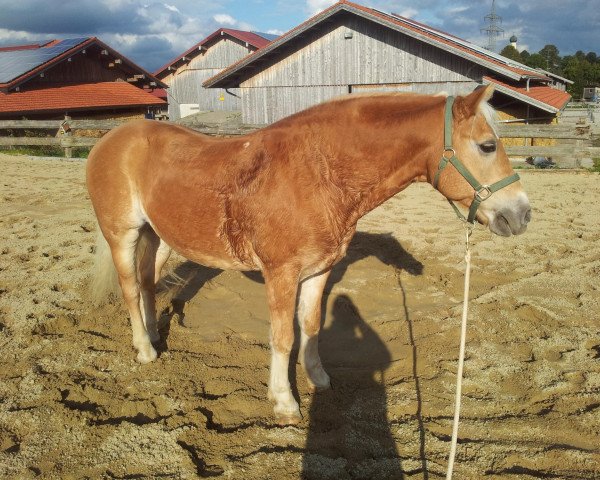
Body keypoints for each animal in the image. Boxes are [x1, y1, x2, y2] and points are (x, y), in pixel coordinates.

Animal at [85, 85, 528, 424]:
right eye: (488, 146)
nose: (521, 214)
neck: (317, 172)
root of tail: (110, 139)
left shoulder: (319, 270)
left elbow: (311, 326)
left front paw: (318, 379)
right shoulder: (281, 273)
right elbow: (282, 336)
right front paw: (284, 401)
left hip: (160, 236)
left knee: (147, 283)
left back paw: (155, 336)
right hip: (123, 235)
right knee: (129, 288)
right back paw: (144, 350)